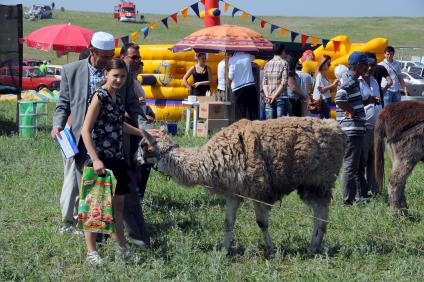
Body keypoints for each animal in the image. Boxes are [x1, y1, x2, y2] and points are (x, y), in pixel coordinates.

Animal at [137, 118, 346, 254]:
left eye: (143, 146)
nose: (135, 159)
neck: (212, 158)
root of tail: (337, 127)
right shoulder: (233, 193)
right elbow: (228, 222)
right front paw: (224, 249)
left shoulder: (258, 189)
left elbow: (262, 223)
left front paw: (270, 250)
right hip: (311, 184)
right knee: (318, 214)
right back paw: (314, 245)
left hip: (319, 180)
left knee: (322, 214)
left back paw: (314, 246)